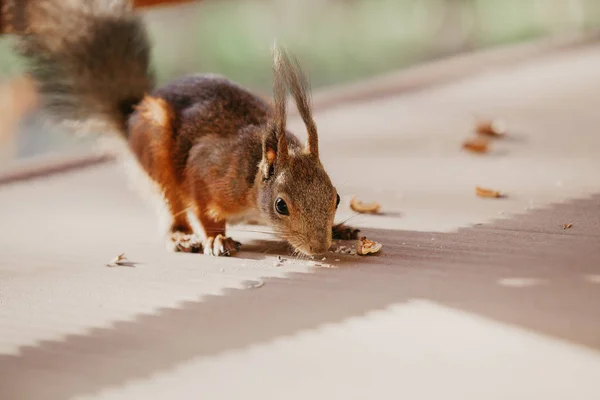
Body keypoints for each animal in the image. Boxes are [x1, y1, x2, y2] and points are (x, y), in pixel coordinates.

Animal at [3, 0, 360, 256]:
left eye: (337, 198)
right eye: (281, 206)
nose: (319, 248)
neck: (251, 175)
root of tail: (131, 116)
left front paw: (339, 228)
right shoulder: (207, 170)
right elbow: (204, 209)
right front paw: (217, 239)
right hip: (156, 155)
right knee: (171, 206)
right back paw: (181, 237)